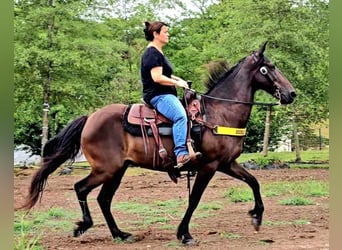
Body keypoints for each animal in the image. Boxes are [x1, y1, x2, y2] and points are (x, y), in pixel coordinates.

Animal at [20, 42, 296, 244]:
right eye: (267, 68)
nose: (291, 93)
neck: (218, 113)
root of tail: (90, 118)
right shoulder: (209, 166)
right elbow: (194, 199)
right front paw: (184, 234)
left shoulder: (227, 163)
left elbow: (254, 181)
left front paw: (257, 217)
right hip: (106, 169)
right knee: (81, 189)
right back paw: (84, 226)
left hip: (118, 170)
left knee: (103, 199)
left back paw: (120, 234)